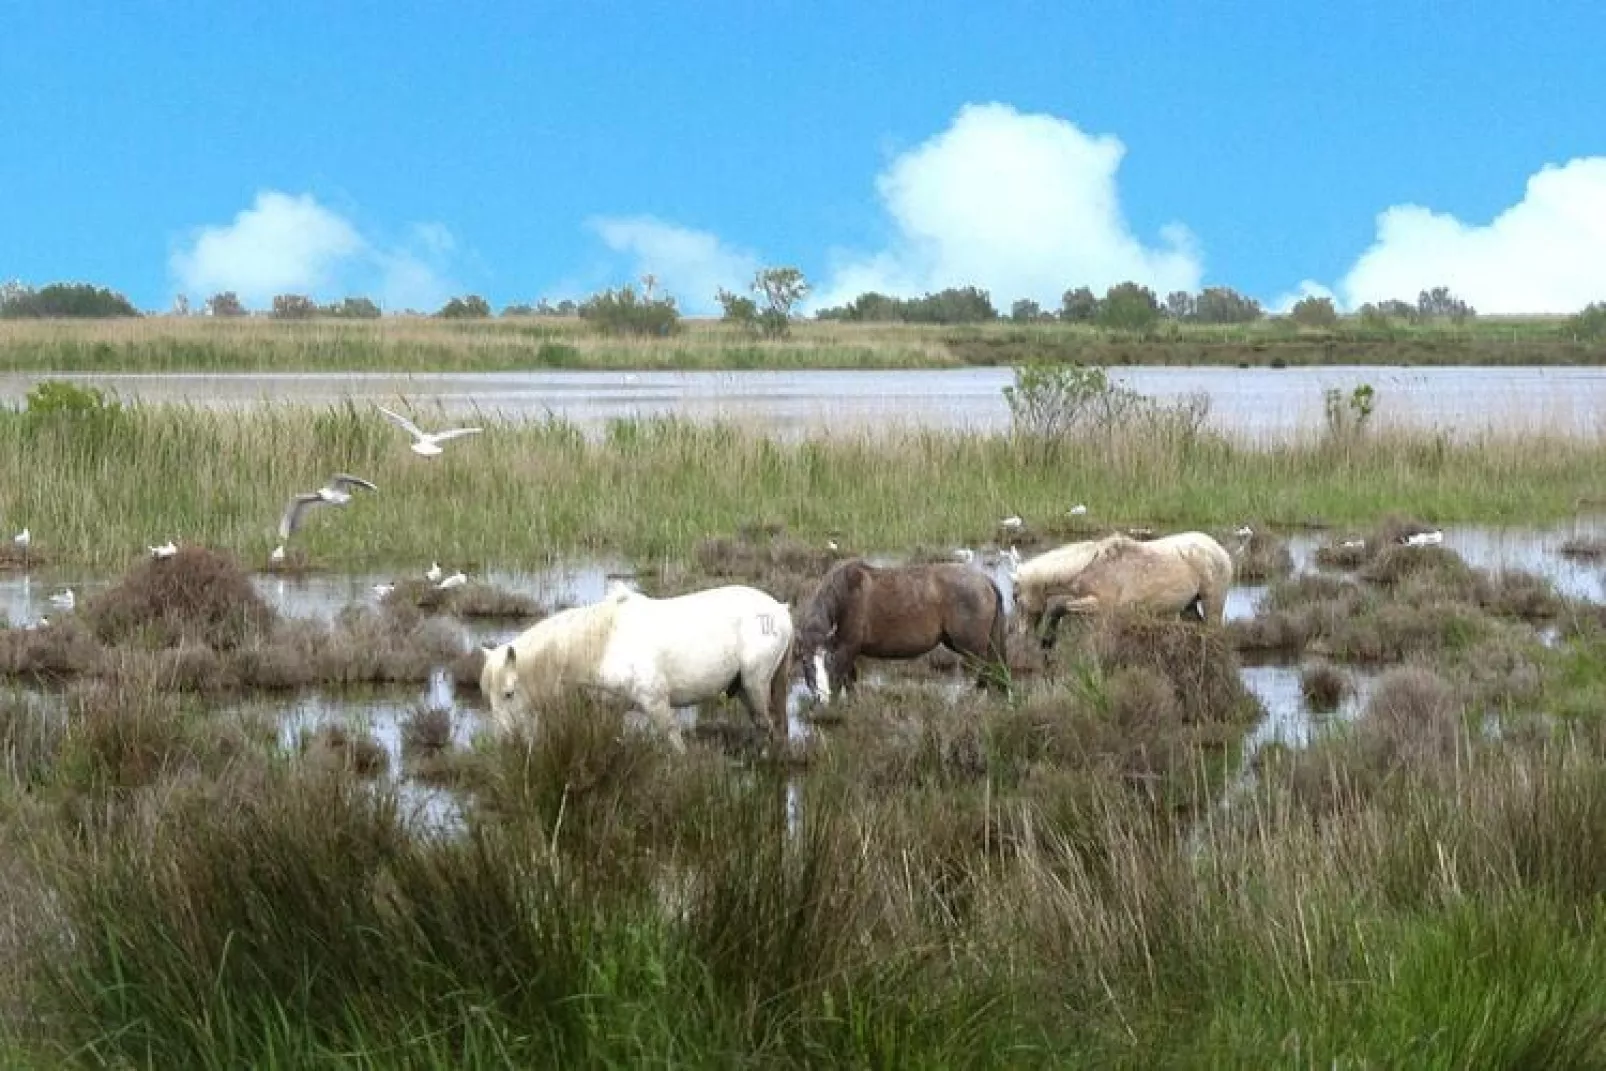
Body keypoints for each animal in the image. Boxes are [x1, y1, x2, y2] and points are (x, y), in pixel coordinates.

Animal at [478, 581, 799, 751]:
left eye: (508, 693)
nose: (504, 742)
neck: (601, 644)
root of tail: (779, 609)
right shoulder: (610, 709)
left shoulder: (656, 702)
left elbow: (674, 744)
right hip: (747, 689)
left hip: (755, 685)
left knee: (768, 725)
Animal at [793, 561, 1002, 703]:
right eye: (805, 662)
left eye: (828, 661)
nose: (822, 698)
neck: (845, 597)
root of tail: (984, 580)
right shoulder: (845, 651)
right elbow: (849, 681)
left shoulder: (846, 650)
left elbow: (843, 682)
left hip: (972, 649)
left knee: (982, 673)